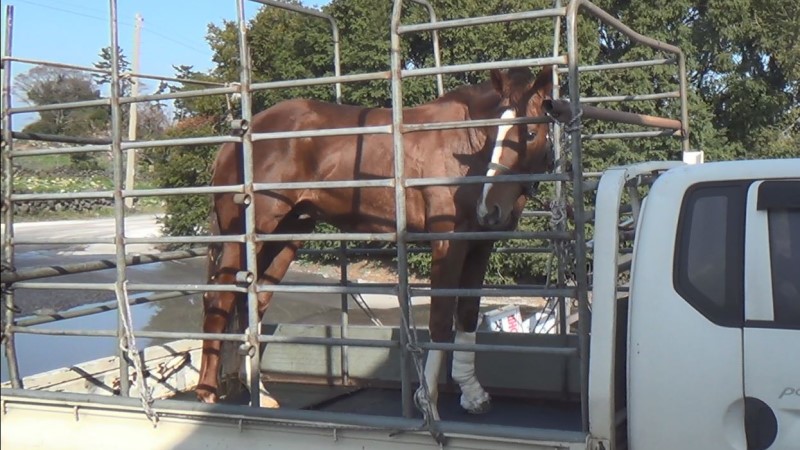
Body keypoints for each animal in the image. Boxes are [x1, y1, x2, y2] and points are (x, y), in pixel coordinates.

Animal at [196, 65, 555, 419]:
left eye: (530, 133)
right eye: (495, 132)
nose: (489, 208)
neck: (464, 148)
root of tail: (239, 136)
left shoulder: (480, 244)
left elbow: (466, 315)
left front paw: (472, 394)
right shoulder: (447, 242)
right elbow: (440, 320)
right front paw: (427, 400)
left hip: (284, 236)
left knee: (251, 301)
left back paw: (259, 392)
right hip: (244, 236)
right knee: (219, 299)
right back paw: (207, 394)